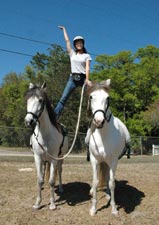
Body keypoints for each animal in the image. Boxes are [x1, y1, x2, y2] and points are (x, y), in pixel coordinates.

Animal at [24, 81, 68, 210]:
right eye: (27, 100)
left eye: (40, 100)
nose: (28, 121)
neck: (45, 135)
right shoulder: (38, 158)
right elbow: (40, 179)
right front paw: (37, 203)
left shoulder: (54, 159)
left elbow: (52, 180)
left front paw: (52, 204)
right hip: (45, 160)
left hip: (60, 159)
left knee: (59, 171)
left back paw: (61, 188)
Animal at [85, 79, 130, 216]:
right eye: (91, 97)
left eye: (107, 98)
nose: (99, 121)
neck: (103, 135)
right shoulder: (94, 160)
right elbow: (95, 182)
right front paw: (93, 208)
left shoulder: (113, 161)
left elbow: (111, 183)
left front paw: (114, 208)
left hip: (109, 163)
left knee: (108, 179)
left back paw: (108, 195)